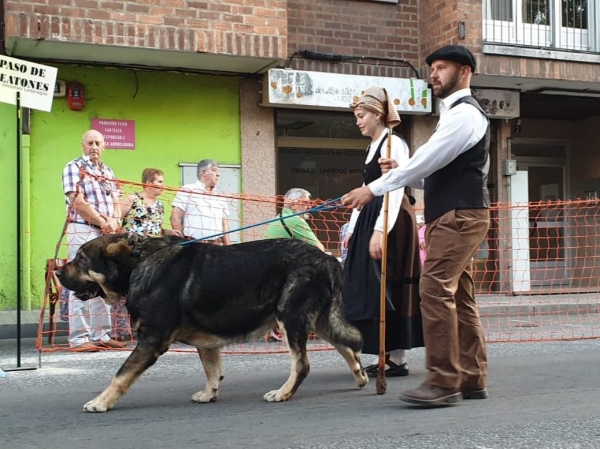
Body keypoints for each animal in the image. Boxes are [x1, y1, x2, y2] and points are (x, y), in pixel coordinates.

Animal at [56, 234, 368, 412]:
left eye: (81, 259)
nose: (57, 273)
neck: (138, 262)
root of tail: (328, 258)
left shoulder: (151, 340)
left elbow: (120, 375)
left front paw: (101, 402)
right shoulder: (206, 342)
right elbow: (212, 371)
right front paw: (210, 394)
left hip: (290, 317)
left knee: (302, 364)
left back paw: (283, 393)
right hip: (317, 321)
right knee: (348, 347)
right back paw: (360, 376)